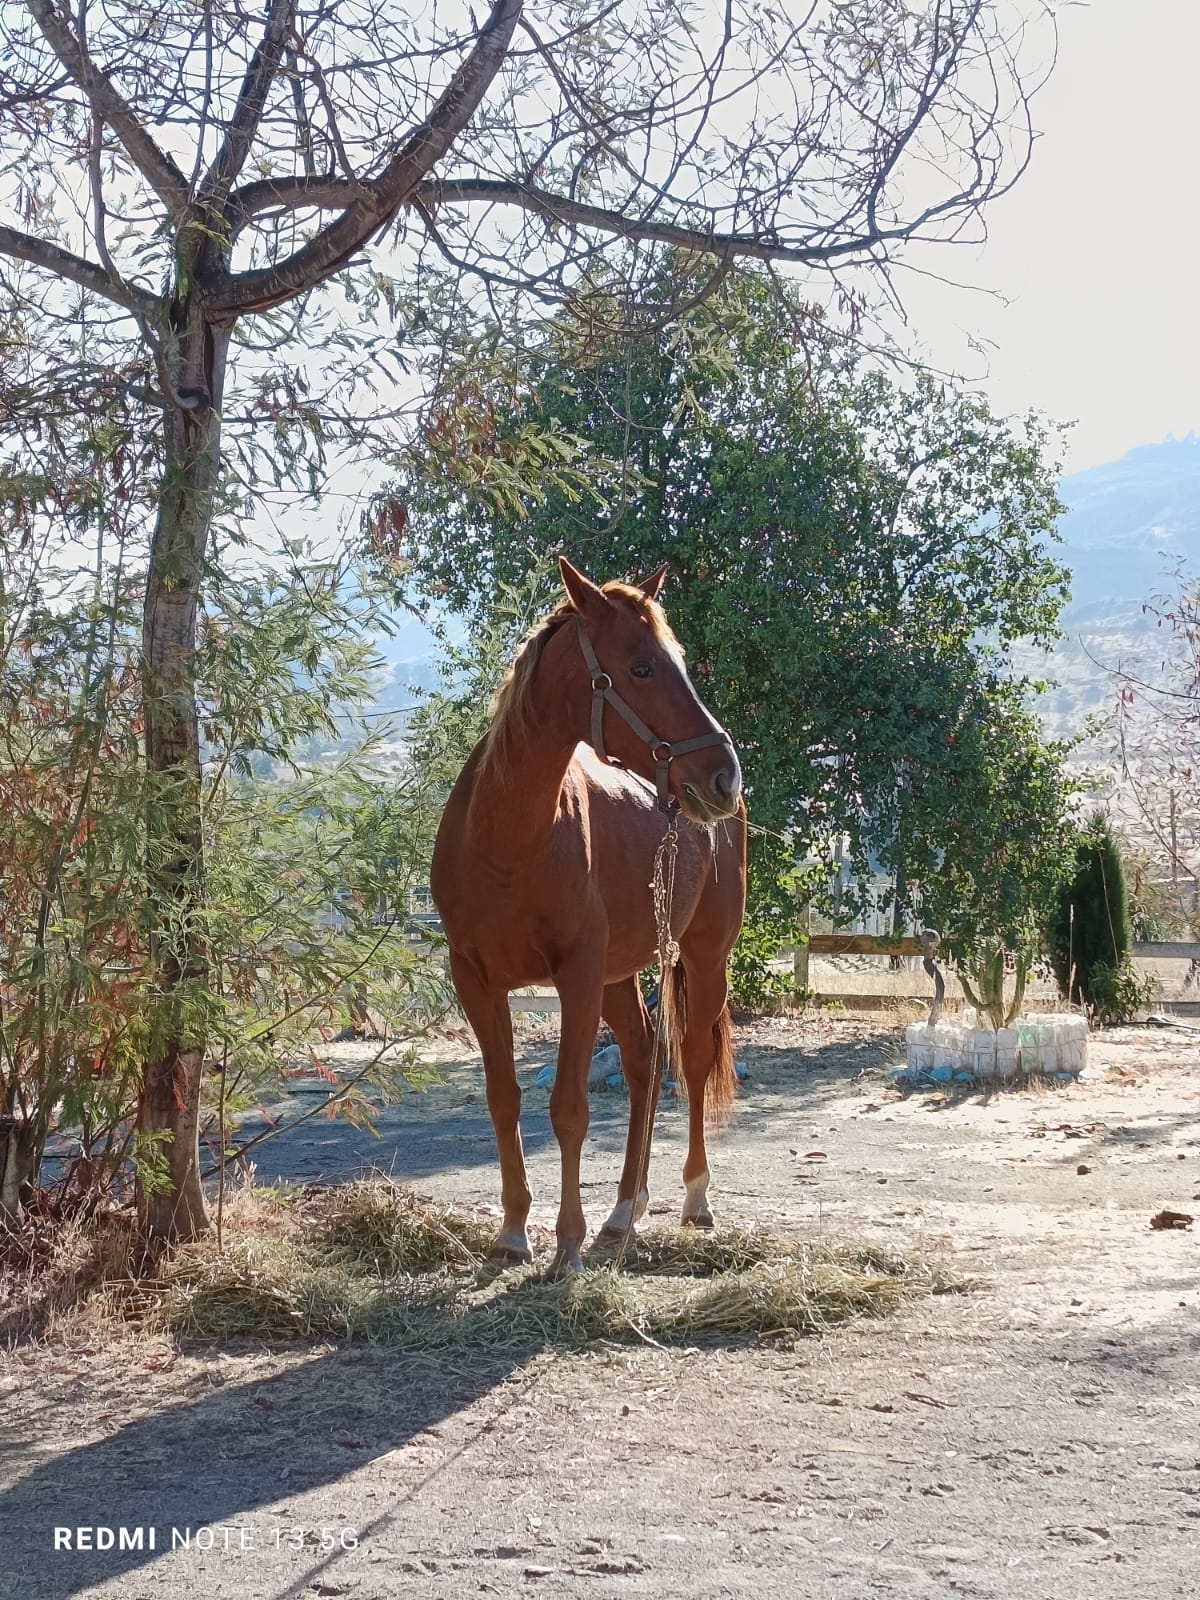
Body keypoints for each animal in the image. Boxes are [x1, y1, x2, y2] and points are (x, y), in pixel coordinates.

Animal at [431, 557, 747, 1275]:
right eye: (641, 667)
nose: (724, 776)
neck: (509, 841)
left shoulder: (575, 975)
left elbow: (569, 1108)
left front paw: (566, 1243)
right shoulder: (475, 980)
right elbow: (504, 1100)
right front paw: (514, 1231)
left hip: (703, 958)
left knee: (689, 1060)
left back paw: (693, 1198)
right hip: (619, 976)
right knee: (642, 1064)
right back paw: (624, 1210)